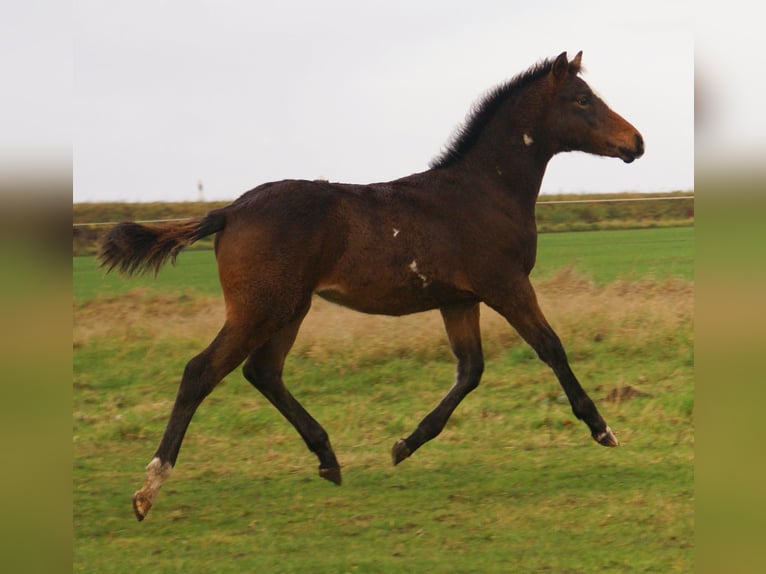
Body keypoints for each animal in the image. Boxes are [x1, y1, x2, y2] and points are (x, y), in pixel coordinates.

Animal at [99, 51, 644, 521]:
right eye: (582, 99)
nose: (636, 142)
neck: (483, 192)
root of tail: (229, 211)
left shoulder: (458, 300)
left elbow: (470, 371)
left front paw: (405, 444)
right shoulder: (506, 286)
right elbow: (550, 348)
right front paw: (602, 429)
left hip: (289, 309)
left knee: (264, 372)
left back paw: (328, 458)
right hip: (260, 308)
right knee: (201, 372)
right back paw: (148, 490)